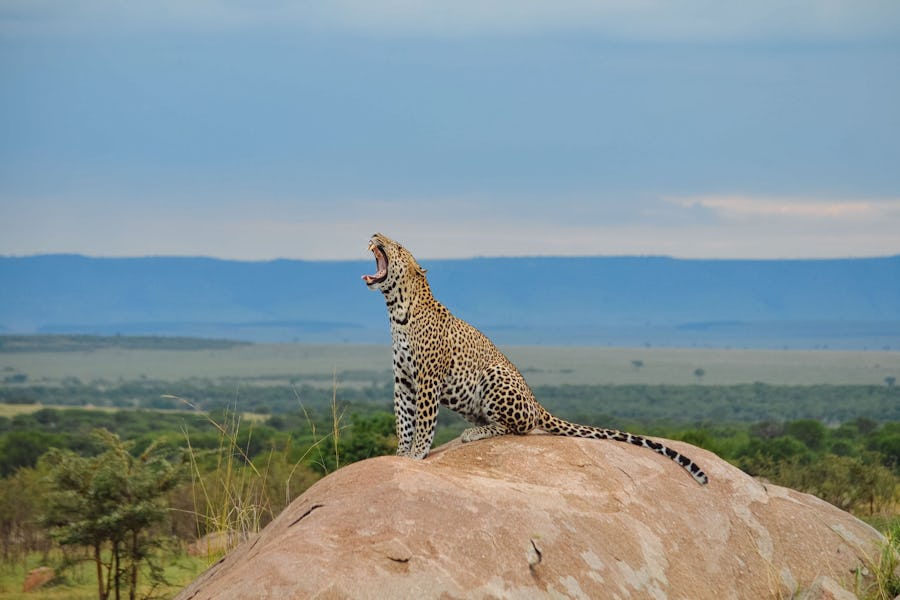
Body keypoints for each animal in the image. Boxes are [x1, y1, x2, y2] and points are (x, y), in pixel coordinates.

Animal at [360, 232, 712, 486]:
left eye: (398, 245)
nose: (375, 232)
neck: (396, 309)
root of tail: (537, 402)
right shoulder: (403, 381)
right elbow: (403, 419)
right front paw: (401, 453)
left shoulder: (428, 378)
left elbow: (423, 419)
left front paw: (417, 453)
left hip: (494, 374)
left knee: (519, 427)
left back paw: (476, 433)